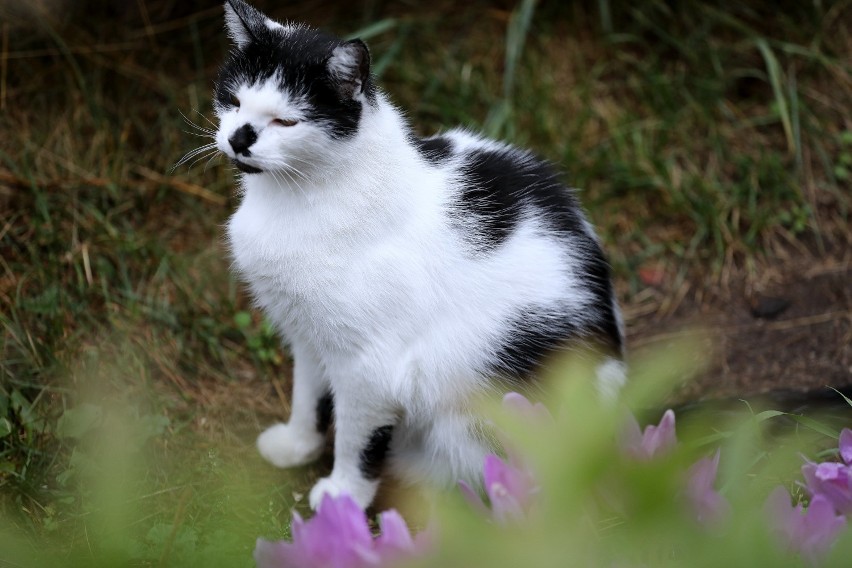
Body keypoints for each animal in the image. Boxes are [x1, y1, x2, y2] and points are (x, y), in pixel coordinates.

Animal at [213, 0, 624, 512]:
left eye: (286, 121)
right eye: (233, 101)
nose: (239, 138)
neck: (297, 196)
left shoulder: (370, 367)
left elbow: (356, 437)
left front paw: (343, 496)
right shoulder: (307, 335)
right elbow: (306, 397)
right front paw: (296, 445)